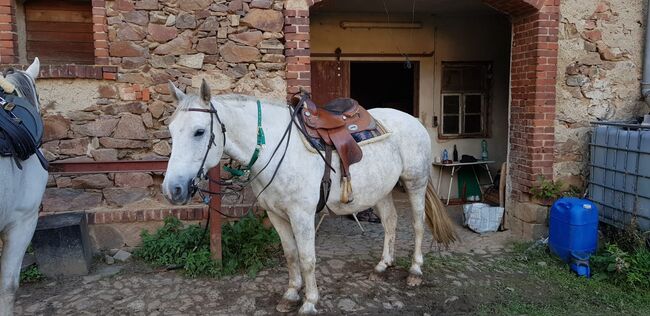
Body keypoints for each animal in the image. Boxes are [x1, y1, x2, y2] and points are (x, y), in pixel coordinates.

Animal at [162, 81, 456, 314]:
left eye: (199, 131)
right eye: (171, 131)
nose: (172, 189)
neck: (275, 149)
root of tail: (414, 121)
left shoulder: (302, 216)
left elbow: (307, 259)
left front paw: (309, 303)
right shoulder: (277, 215)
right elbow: (291, 255)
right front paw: (291, 295)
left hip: (415, 183)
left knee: (417, 224)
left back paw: (415, 271)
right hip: (381, 190)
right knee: (391, 222)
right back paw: (382, 266)